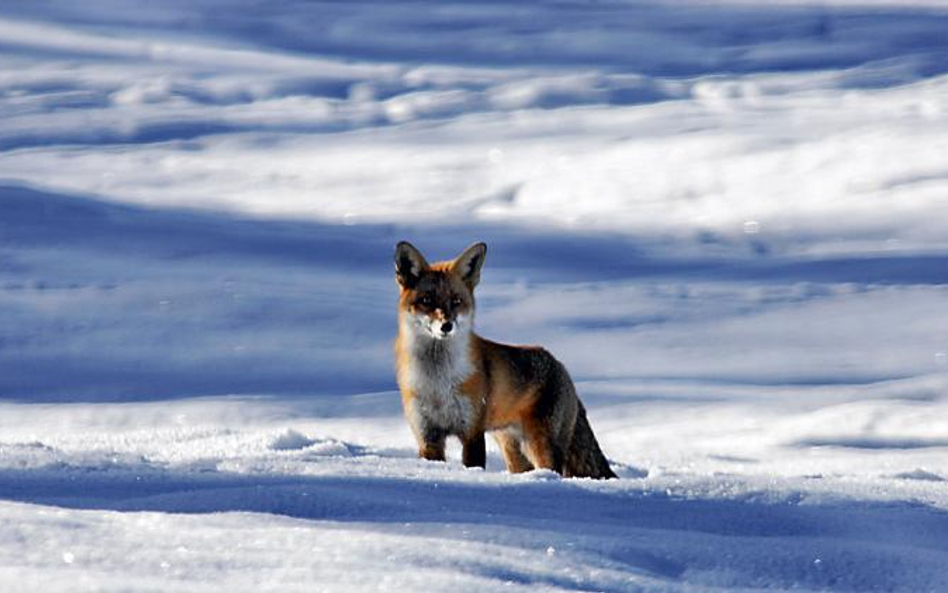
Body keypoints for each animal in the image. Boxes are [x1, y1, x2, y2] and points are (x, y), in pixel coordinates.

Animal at [390, 239, 616, 476]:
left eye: (456, 301)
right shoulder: (427, 435)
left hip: (541, 444)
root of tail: (561, 366)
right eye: (426, 300)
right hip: (512, 450)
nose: (447, 325)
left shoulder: (472, 431)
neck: (438, 382)